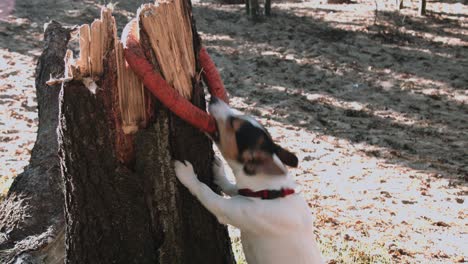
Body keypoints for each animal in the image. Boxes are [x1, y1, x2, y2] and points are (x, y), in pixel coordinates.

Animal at [174, 97, 324, 264]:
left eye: (233, 123)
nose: (214, 98)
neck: (270, 192)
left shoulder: (227, 209)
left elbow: (204, 191)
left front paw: (187, 175)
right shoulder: (244, 192)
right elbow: (231, 187)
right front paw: (220, 172)